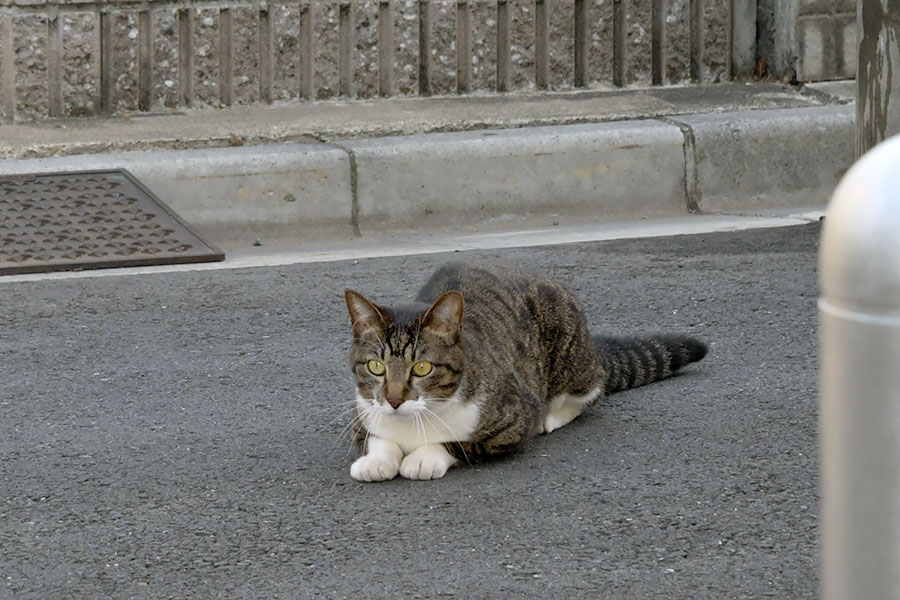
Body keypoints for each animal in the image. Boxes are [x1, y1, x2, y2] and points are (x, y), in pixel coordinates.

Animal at [344, 262, 712, 482]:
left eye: (421, 368)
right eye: (376, 367)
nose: (393, 400)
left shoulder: (514, 418)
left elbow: (460, 443)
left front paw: (423, 457)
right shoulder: (362, 415)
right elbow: (376, 438)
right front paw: (377, 460)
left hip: (569, 351)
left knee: (592, 390)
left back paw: (554, 415)